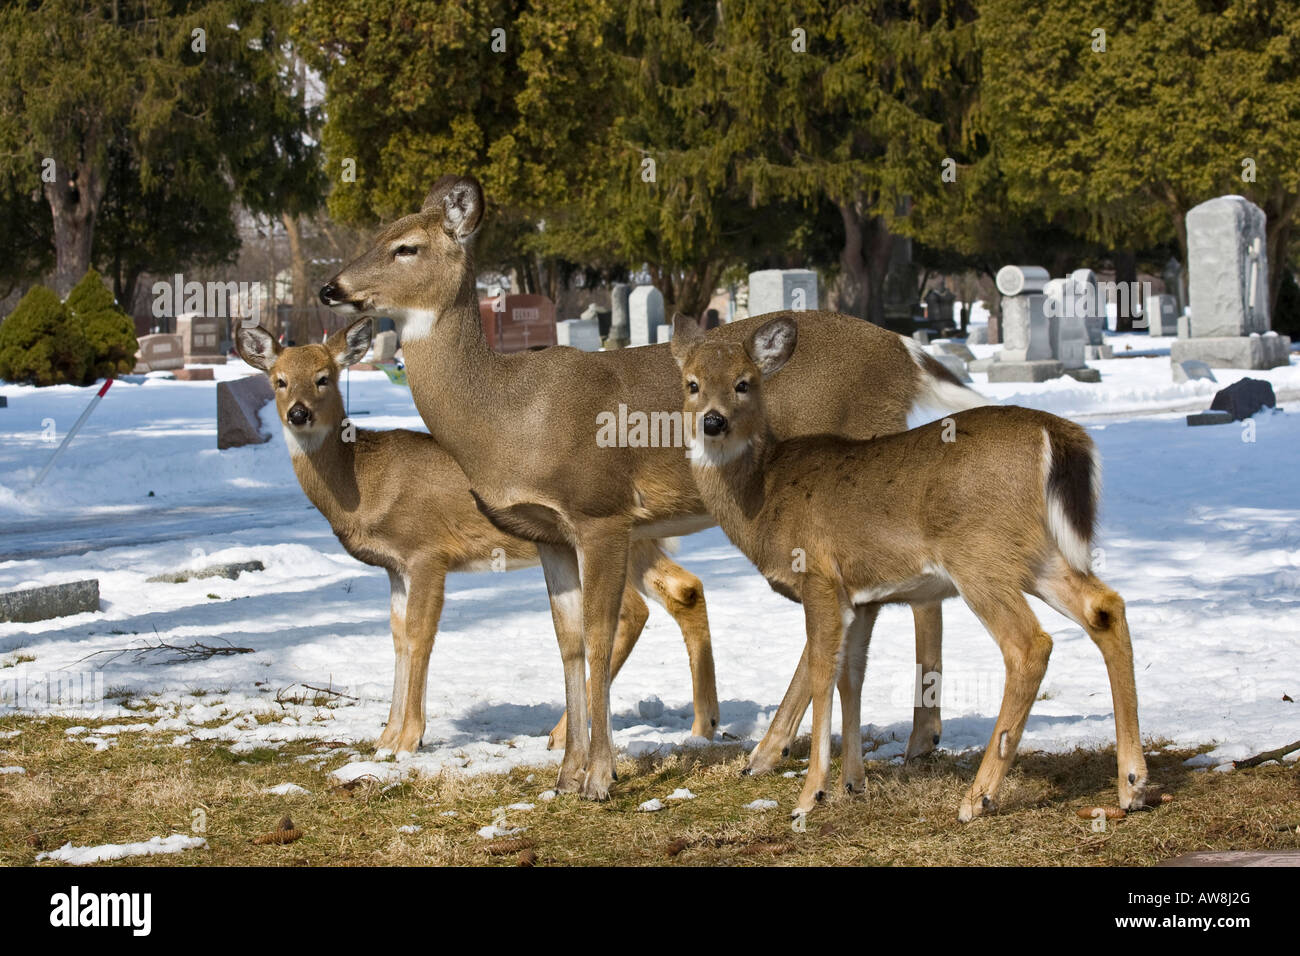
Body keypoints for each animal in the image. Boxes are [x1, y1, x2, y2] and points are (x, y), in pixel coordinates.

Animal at [233, 319, 722, 754]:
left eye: (324, 378)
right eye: (278, 381)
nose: (299, 413)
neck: (365, 482)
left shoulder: (427, 551)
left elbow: (419, 634)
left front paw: (408, 740)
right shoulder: (394, 568)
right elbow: (396, 636)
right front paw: (384, 738)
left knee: (633, 610)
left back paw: (566, 733)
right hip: (639, 540)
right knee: (681, 589)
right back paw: (701, 726)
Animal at [322, 171, 982, 801]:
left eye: (406, 246)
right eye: (374, 234)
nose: (331, 288)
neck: (509, 416)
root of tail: (905, 352)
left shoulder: (600, 510)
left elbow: (597, 633)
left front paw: (598, 776)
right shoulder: (547, 533)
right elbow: (566, 641)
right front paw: (563, 776)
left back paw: (803, 748)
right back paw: (874, 743)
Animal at [670, 316, 1149, 822]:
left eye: (744, 383)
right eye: (692, 383)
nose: (713, 421)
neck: (764, 495)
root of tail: (1055, 434)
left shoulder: (819, 577)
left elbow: (822, 671)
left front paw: (809, 796)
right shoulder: (860, 599)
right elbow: (851, 676)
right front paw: (852, 784)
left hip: (979, 554)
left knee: (1028, 644)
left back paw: (977, 798)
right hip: (1038, 557)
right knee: (1105, 608)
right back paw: (1132, 784)